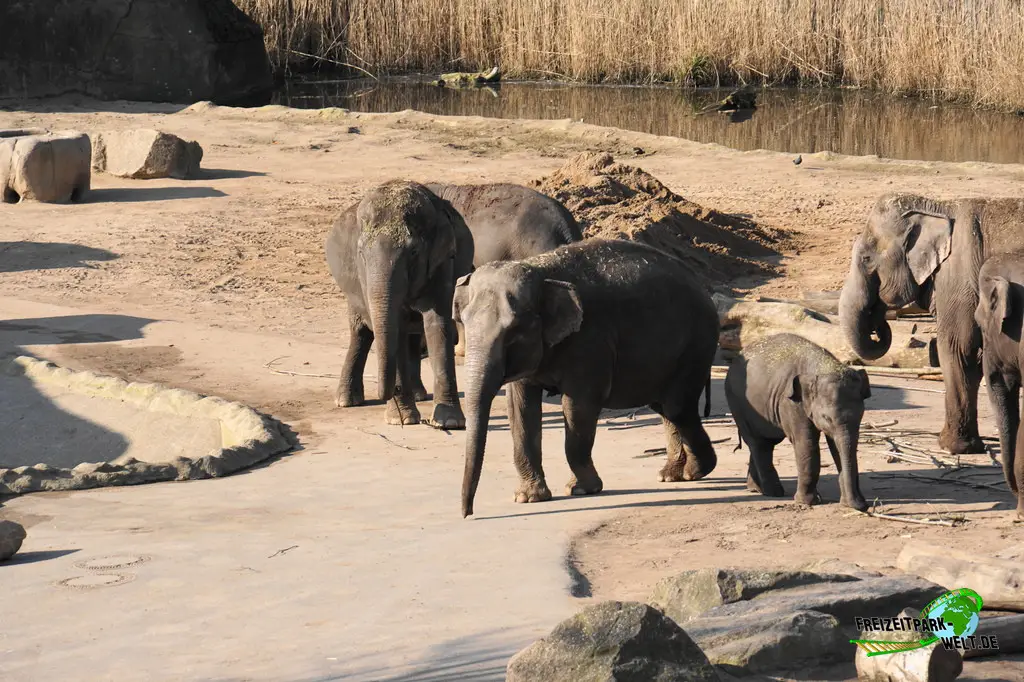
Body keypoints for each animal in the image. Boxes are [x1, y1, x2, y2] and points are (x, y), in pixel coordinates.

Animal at [324, 180, 473, 429]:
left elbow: (437, 325)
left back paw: (418, 395)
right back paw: (346, 401)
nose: (388, 392)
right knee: (361, 332)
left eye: (413, 252)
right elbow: (397, 329)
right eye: (361, 253)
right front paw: (401, 419)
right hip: (354, 291)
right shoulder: (364, 276)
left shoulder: (442, 263)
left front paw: (449, 422)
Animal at [454, 238, 721, 517]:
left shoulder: (590, 341)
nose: (467, 513)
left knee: (676, 406)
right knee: (666, 407)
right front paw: (528, 498)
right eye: (463, 320)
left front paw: (581, 490)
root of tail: (703, 287)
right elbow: (520, 408)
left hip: (697, 343)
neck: (541, 270)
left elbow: (578, 406)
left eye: (514, 331)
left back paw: (695, 471)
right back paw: (672, 475)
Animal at [725, 333, 870, 511]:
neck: (823, 366)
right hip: (737, 403)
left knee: (766, 442)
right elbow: (806, 443)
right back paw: (773, 492)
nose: (861, 506)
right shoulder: (792, 403)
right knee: (758, 444)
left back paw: (755, 488)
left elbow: (837, 447)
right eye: (826, 417)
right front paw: (806, 502)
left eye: (861, 415)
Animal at [839, 193, 1024, 455]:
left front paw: (951, 446)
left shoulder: (956, 278)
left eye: (866, 258)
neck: (939, 207)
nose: (877, 324)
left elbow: (957, 348)